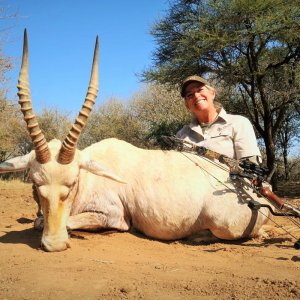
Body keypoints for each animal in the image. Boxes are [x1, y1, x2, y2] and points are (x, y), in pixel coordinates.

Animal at [0, 31, 272, 251]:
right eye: (35, 184)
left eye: (73, 182)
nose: (55, 244)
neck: (90, 177)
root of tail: (256, 192)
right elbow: (39, 220)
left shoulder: (114, 215)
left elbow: (61, 221)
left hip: (223, 225)